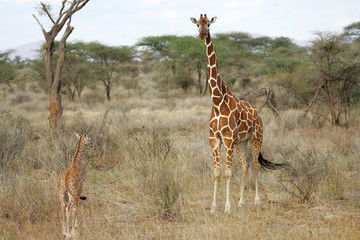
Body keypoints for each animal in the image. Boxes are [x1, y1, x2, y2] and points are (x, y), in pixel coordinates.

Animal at [190, 14, 286, 214]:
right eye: (197, 24)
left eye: (208, 24)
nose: (202, 33)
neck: (217, 101)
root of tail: (258, 115)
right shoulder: (214, 139)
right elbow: (217, 173)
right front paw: (213, 208)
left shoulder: (227, 139)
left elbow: (228, 173)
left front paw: (226, 208)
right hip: (241, 142)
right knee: (245, 165)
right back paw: (241, 202)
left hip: (256, 137)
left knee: (255, 164)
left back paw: (256, 201)